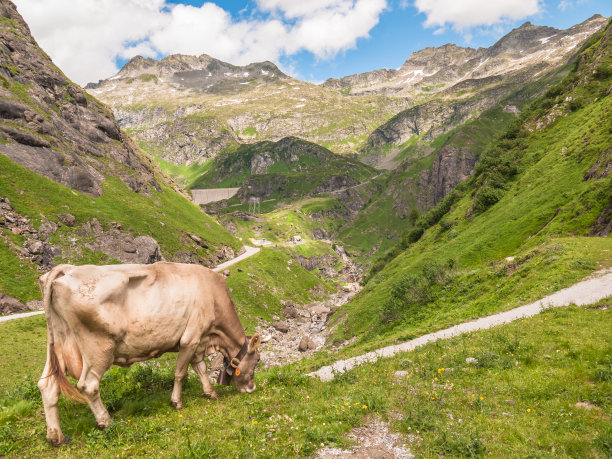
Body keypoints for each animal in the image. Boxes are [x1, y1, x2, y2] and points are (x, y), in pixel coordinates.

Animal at [35, 262, 260, 446]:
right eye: (257, 360)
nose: (252, 388)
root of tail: (67, 270)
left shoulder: (199, 340)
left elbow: (201, 368)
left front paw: (210, 392)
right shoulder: (190, 338)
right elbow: (181, 373)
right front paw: (177, 402)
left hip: (59, 343)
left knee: (47, 385)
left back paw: (56, 437)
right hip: (98, 348)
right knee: (88, 385)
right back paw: (106, 421)